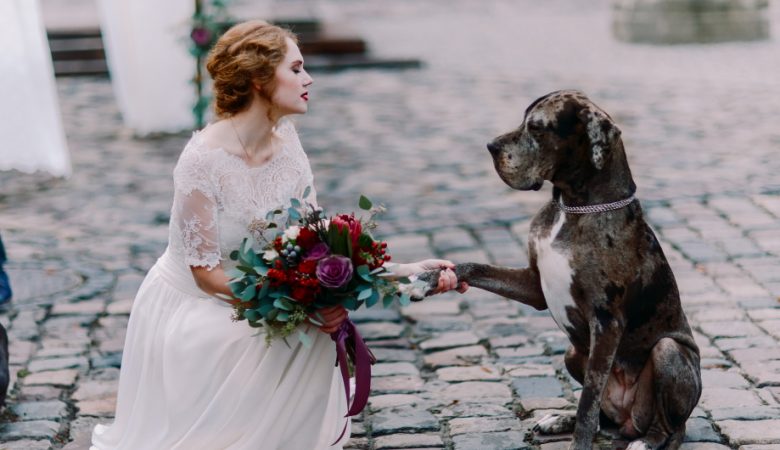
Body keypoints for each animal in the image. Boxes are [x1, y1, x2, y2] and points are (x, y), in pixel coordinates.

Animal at [424, 89, 704, 448]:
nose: (491, 146)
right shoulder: (534, 285)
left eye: (537, 127)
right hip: (573, 352)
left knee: (668, 427)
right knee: (603, 418)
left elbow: (588, 400)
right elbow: (477, 267)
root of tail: (629, 420)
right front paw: (432, 277)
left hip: (668, 354)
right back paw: (559, 420)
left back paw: (645, 441)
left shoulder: (606, 323)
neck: (572, 207)